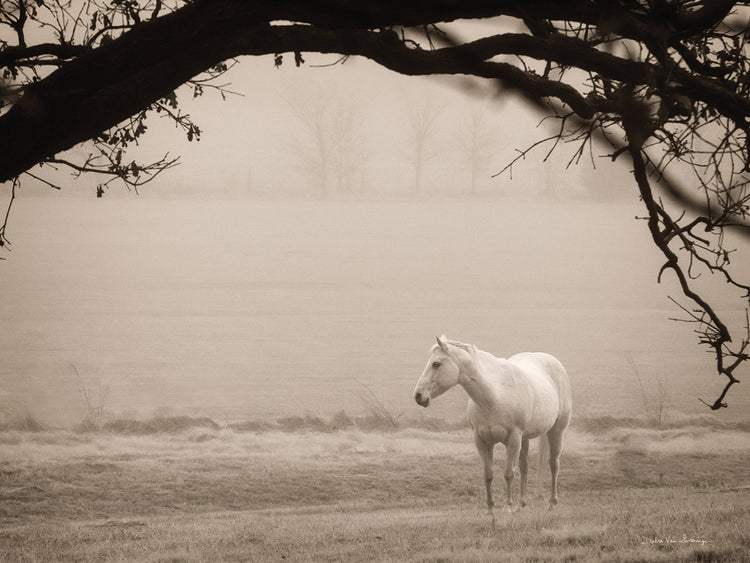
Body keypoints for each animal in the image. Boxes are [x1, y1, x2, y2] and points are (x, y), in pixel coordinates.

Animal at [413, 336, 572, 518]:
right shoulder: (482, 440)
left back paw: (552, 504)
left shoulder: (513, 438)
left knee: (554, 464)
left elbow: (509, 473)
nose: (418, 396)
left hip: (556, 430)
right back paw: (521, 505)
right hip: (524, 438)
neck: (494, 395)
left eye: (436, 364)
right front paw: (490, 509)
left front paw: (507, 507)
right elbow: (488, 475)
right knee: (524, 466)